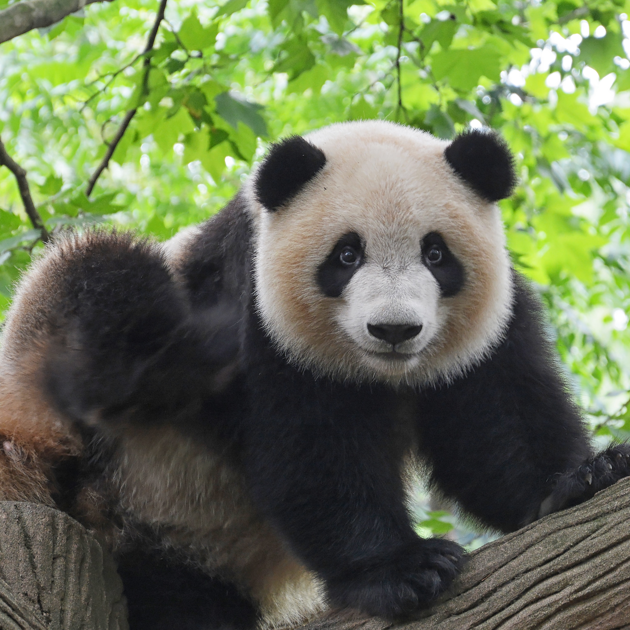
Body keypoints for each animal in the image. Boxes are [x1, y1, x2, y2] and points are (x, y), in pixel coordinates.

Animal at [1, 119, 630, 630]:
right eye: (347, 255)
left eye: (435, 254)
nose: (395, 329)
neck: (381, 373)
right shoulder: (262, 318)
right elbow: (314, 452)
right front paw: (404, 570)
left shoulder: (487, 329)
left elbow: (496, 426)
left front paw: (585, 476)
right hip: (65, 396)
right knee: (99, 278)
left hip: (170, 549)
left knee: (180, 601)